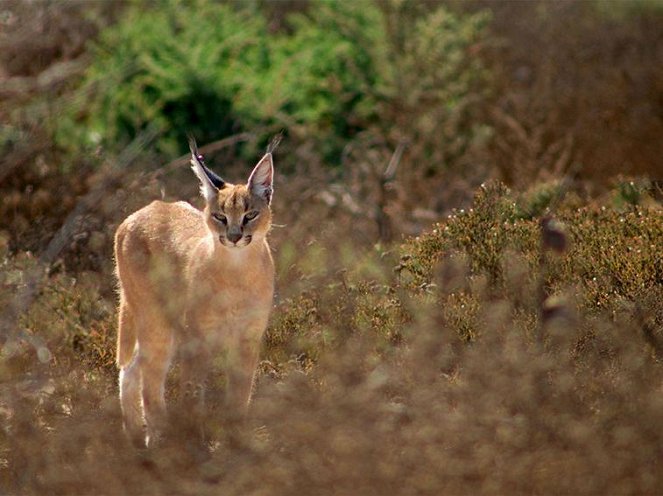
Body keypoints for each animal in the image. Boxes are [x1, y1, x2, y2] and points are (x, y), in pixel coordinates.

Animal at [114, 138, 274, 448]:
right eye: (220, 216)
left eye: (250, 215)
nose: (234, 237)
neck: (237, 272)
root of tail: (143, 210)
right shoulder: (199, 338)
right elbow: (192, 392)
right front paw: (196, 447)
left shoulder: (247, 337)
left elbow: (239, 395)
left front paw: (235, 445)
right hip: (157, 323)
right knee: (150, 380)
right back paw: (157, 441)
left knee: (133, 367)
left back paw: (134, 436)